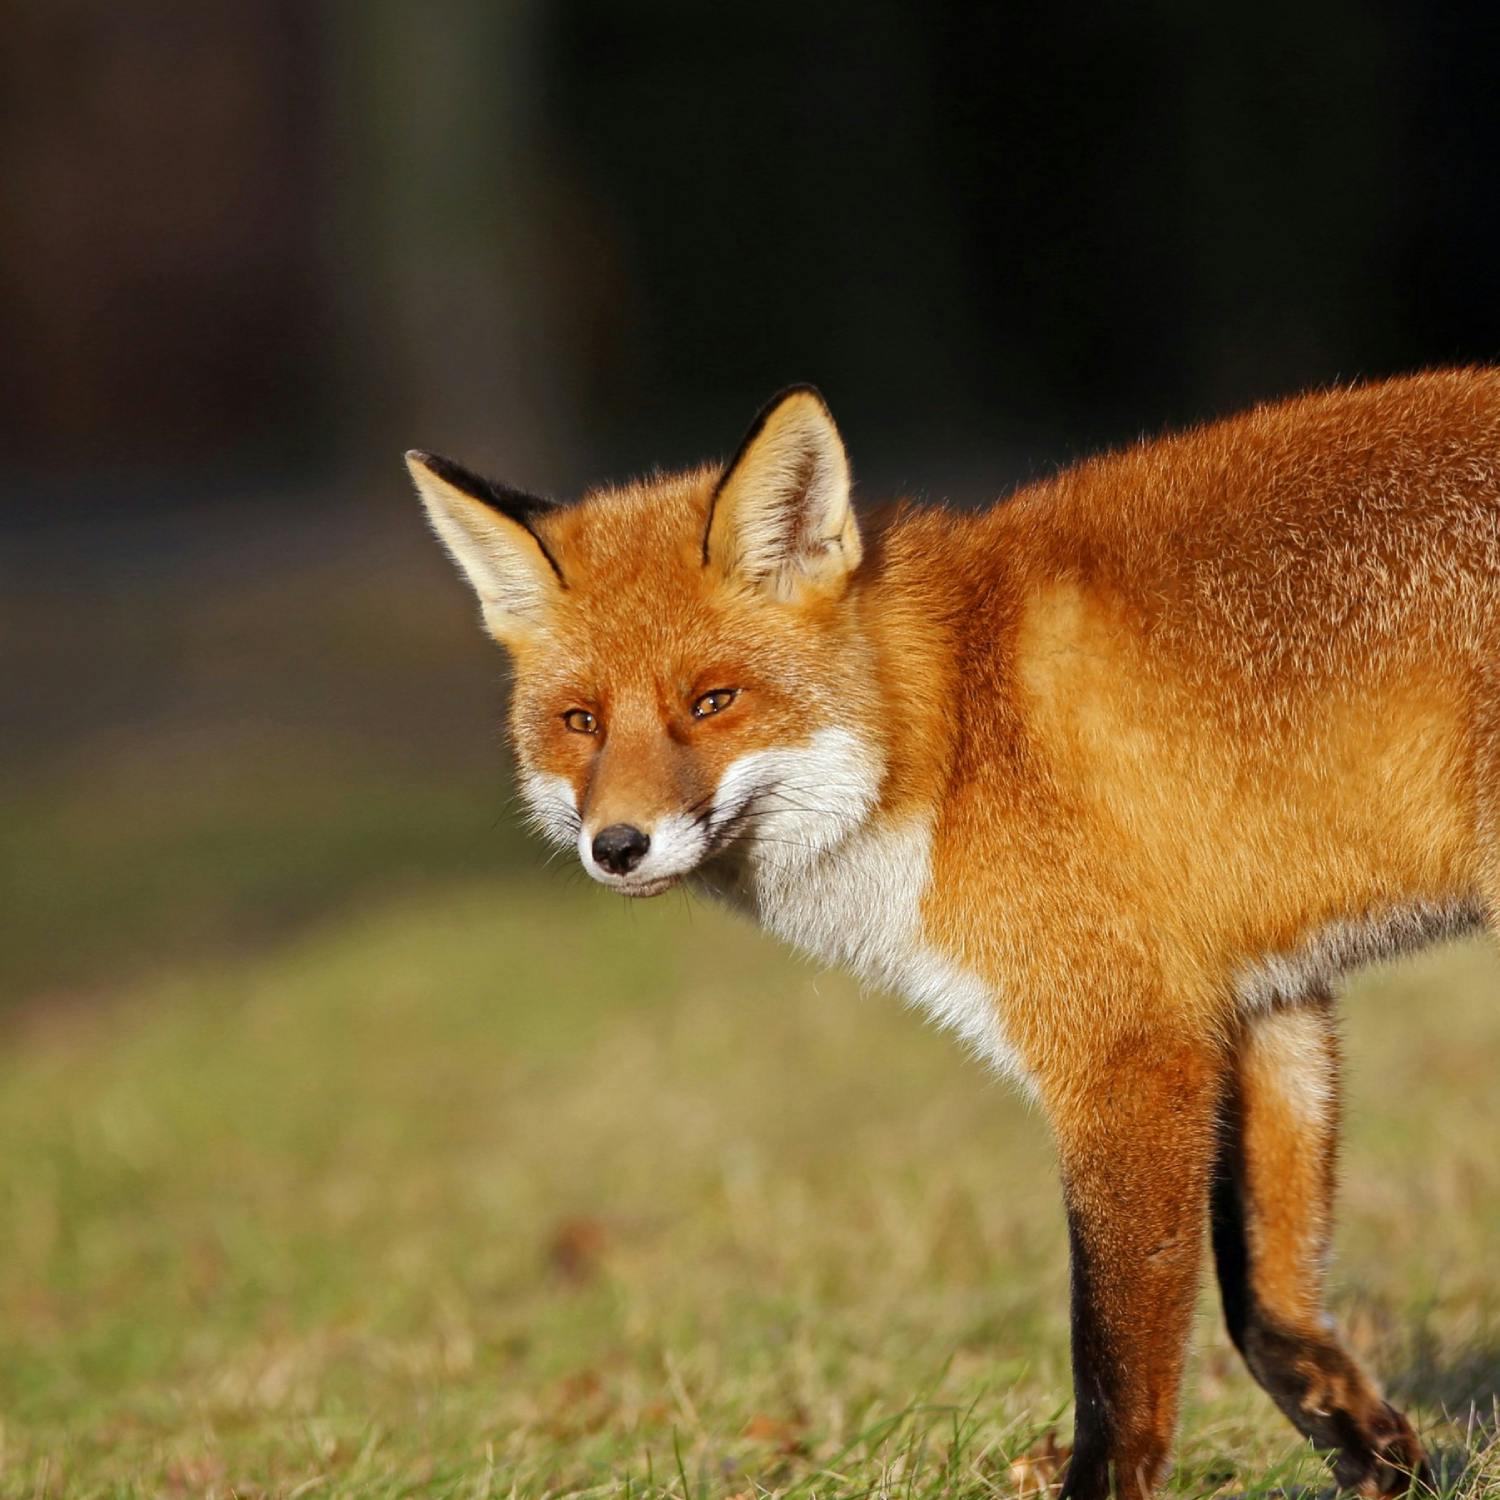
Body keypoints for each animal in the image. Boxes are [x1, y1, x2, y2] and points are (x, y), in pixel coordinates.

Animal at [406, 367, 1500, 1498]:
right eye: (580, 722)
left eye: (713, 702)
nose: (617, 846)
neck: (953, 727)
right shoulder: (1259, 1003)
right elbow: (1268, 1311)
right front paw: (1391, 1465)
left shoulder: (1123, 1049)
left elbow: (1115, 1364)